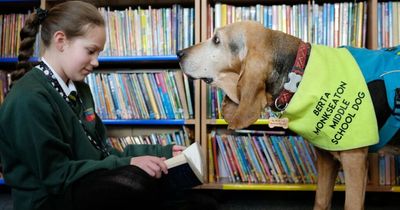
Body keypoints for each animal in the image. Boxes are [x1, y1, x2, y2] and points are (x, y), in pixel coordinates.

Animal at [178, 20, 400, 210]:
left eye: (216, 40)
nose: (179, 53)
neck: (299, 72)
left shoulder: (355, 160)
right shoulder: (326, 158)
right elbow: (321, 201)